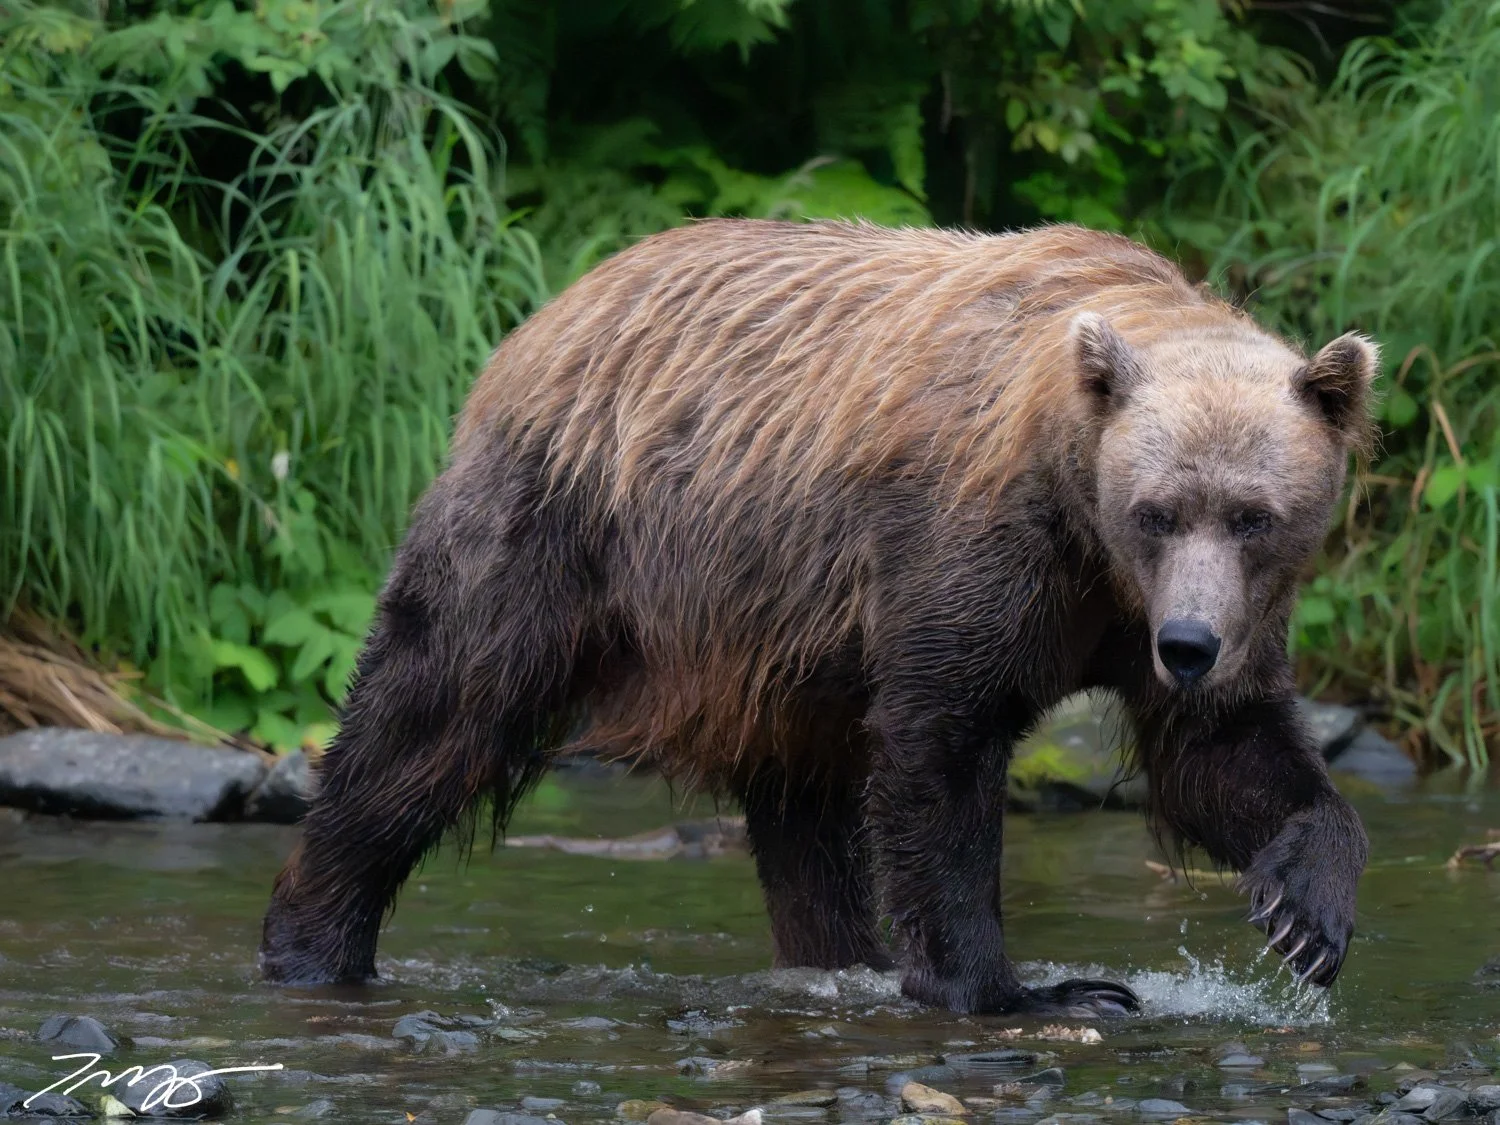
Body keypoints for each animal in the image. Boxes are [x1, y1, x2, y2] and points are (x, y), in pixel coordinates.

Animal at [260, 218, 1375, 1016]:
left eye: (1252, 514)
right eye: (1155, 510)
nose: (1189, 647)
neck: (1087, 534)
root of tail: (546, 315)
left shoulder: (1172, 608)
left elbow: (1224, 753)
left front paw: (1304, 913)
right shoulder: (977, 543)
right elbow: (943, 741)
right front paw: (1019, 988)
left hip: (777, 635)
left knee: (805, 811)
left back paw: (841, 958)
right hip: (561, 530)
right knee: (432, 712)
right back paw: (313, 941)